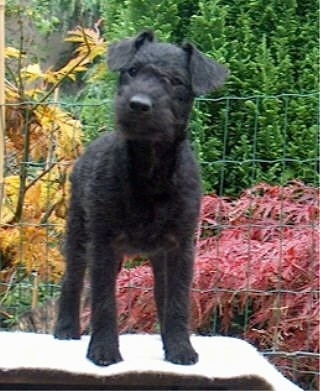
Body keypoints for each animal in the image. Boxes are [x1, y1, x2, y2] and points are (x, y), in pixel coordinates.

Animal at [54, 30, 228, 368]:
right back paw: (66, 329)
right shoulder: (104, 244)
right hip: (79, 233)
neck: (149, 166)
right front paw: (104, 351)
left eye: (176, 81)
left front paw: (180, 348)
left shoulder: (179, 247)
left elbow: (176, 301)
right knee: (72, 278)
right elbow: (104, 301)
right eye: (132, 71)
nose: (138, 104)